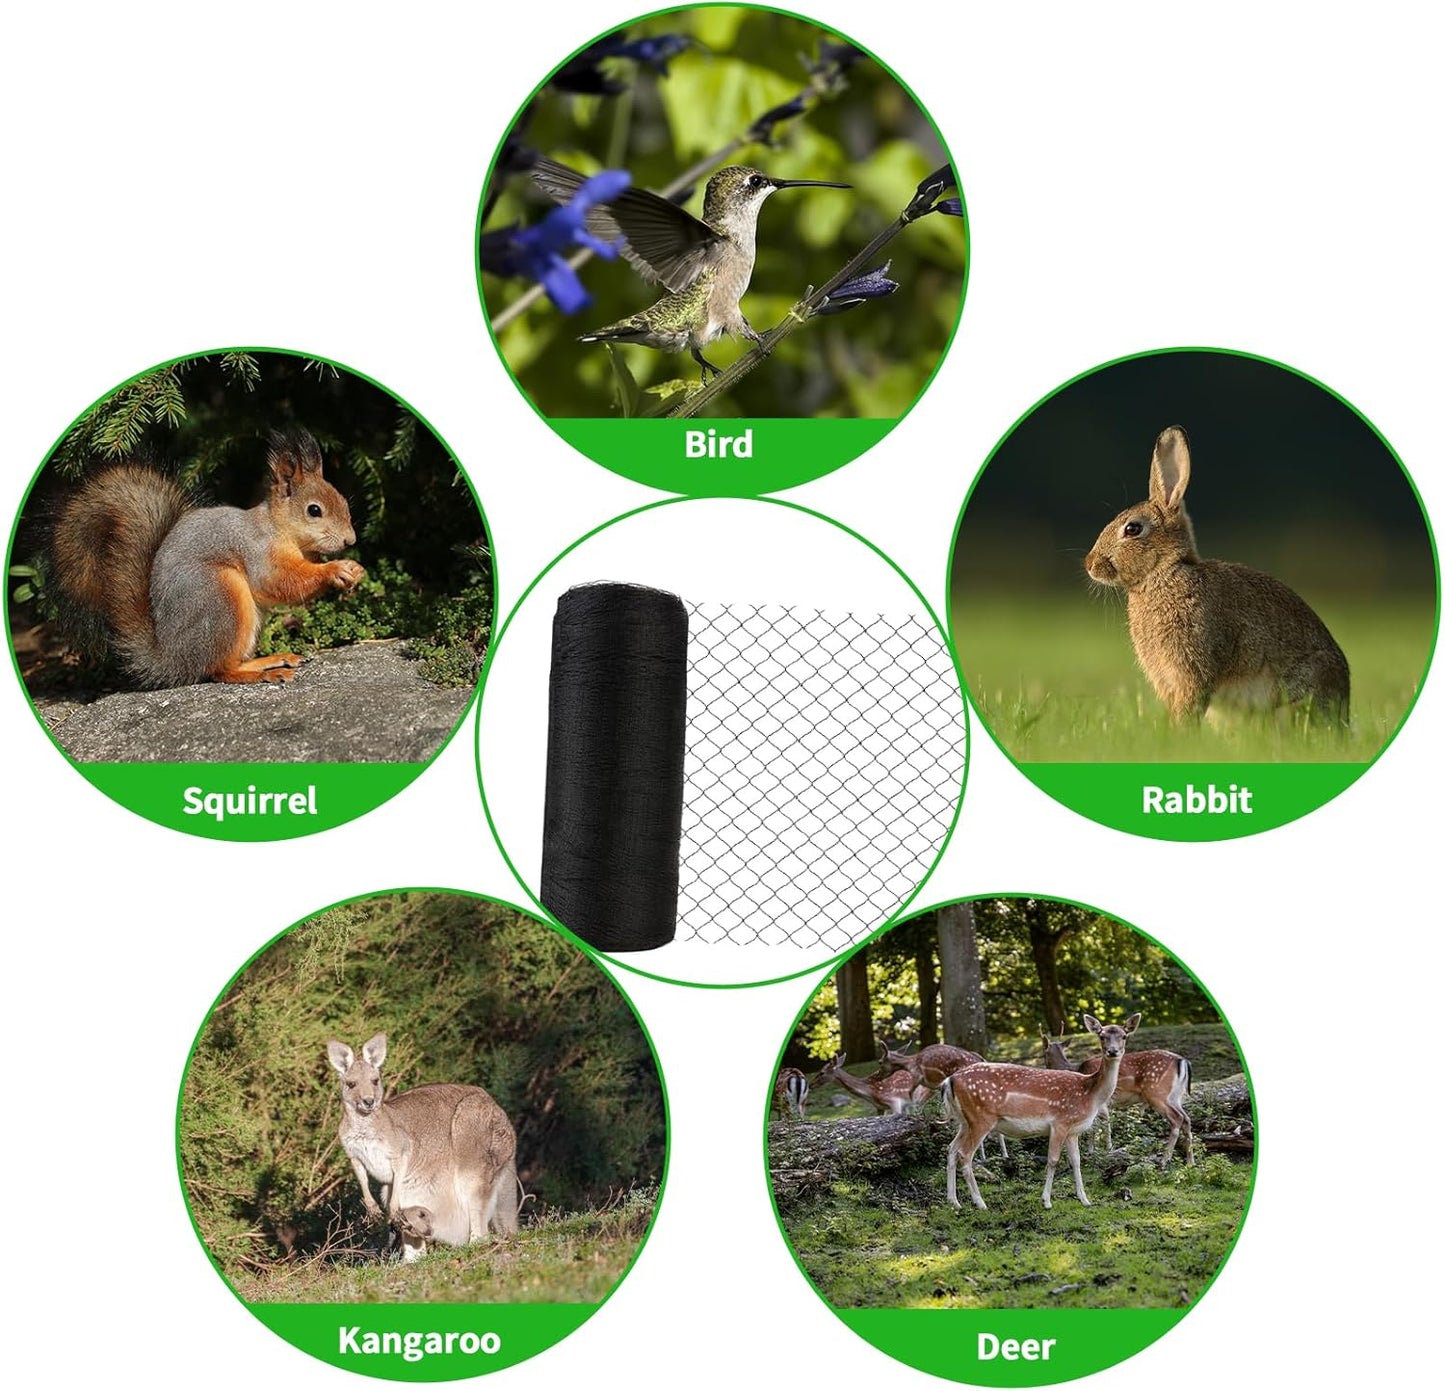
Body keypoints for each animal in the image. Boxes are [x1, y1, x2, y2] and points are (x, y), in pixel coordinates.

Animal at [326, 1033, 520, 1262]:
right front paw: (373, 1211)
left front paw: (388, 1211)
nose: (369, 1101)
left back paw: (473, 1245)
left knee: (479, 1222)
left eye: (375, 1081)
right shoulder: (353, 1154)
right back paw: (409, 1258)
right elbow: (363, 1179)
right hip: (407, 1191)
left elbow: (398, 1170)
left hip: (473, 1143)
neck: (366, 1123)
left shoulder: (401, 1149)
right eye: (351, 1084)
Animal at [943, 1013, 1141, 1209]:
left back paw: (954, 1202)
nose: (1113, 1051)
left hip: (964, 1121)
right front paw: (1046, 1201)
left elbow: (1076, 1161)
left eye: (1124, 1036)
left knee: (951, 1148)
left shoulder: (1073, 1131)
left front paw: (1085, 1200)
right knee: (964, 1155)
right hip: (981, 1118)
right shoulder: (1060, 1123)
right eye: (1101, 1036)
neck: (1089, 1094)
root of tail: (949, 1080)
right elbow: (1053, 1160)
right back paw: (980, 1203)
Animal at [1038, 1023, 1194, 1167]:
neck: (1077, 1069)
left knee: (1177, 1118)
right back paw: (1190, 1161)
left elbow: (1101, 1125)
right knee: (1186, 1118)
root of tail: (1183, 1061)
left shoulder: (1101, 1103)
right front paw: (1094, 1150)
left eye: (1044, 1054)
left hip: (1157, 1092)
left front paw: (1101, 1150)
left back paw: (1164, 1160)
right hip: (1175, 1096)